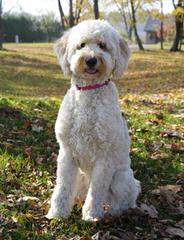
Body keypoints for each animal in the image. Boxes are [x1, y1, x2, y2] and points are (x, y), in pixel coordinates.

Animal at [46, 19, 140, 221]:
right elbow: (62, 187)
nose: (90, 59)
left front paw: (91, 215)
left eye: (102, 46)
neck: (88, 93)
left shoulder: (104, 158)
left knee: (123, 202)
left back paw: (112, 211)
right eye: (81, 45)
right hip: (81, 176)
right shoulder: (67, 153)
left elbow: (96, 190)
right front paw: (57, 213)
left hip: (121, 178)